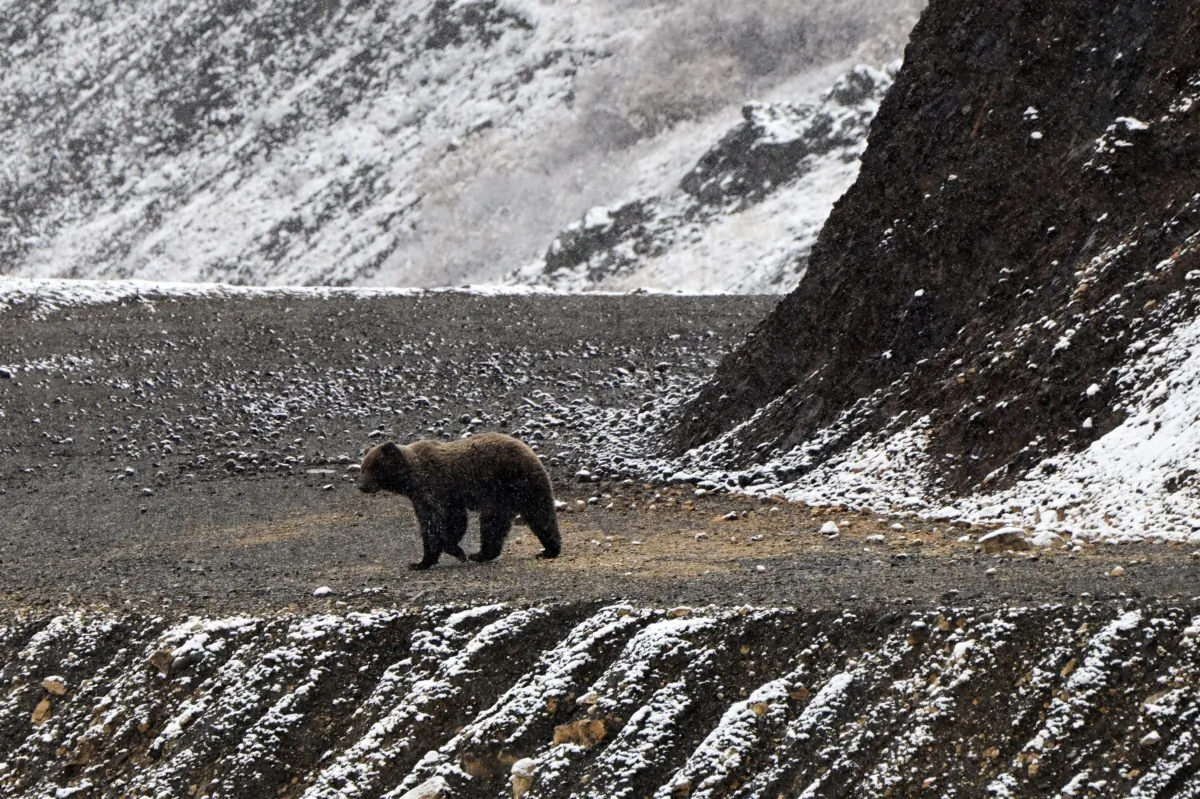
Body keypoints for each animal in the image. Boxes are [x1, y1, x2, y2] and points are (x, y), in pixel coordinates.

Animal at [358, 432, 562, 570]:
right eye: (362, 468)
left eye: (372, 468)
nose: (362, 486)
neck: (410, 480)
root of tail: (530, 452)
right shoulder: (430, 498)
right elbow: (441, 523)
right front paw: (426, 560)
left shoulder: (435, 488)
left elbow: (441, 523)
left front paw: (447, 553)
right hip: (524, 490)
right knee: (540, 517)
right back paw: (548, 550)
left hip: (504, 485)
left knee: (494, 521)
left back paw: (479, 554)